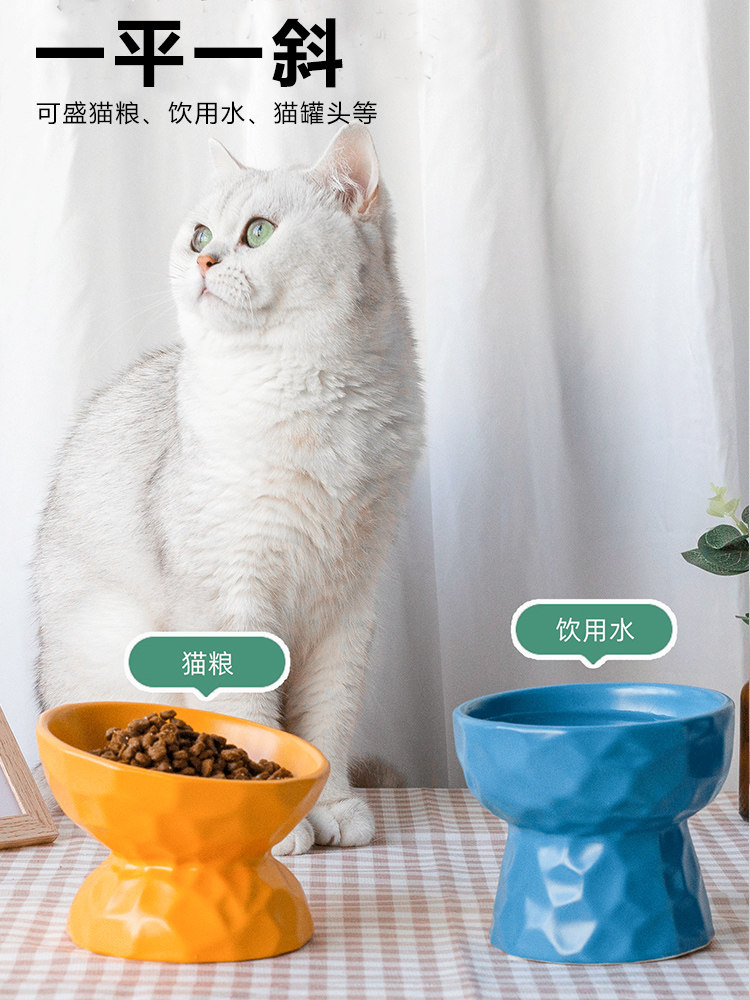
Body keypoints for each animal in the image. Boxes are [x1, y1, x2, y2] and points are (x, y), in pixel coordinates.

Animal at [33, 124, 424, 855]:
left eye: (259, 232)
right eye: (198, 236)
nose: (205, 262)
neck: (308, 392)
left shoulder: (348, 604)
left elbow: (327, 722)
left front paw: (333, 807)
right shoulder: (230, 592)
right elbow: (251, 714)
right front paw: (272, 822)